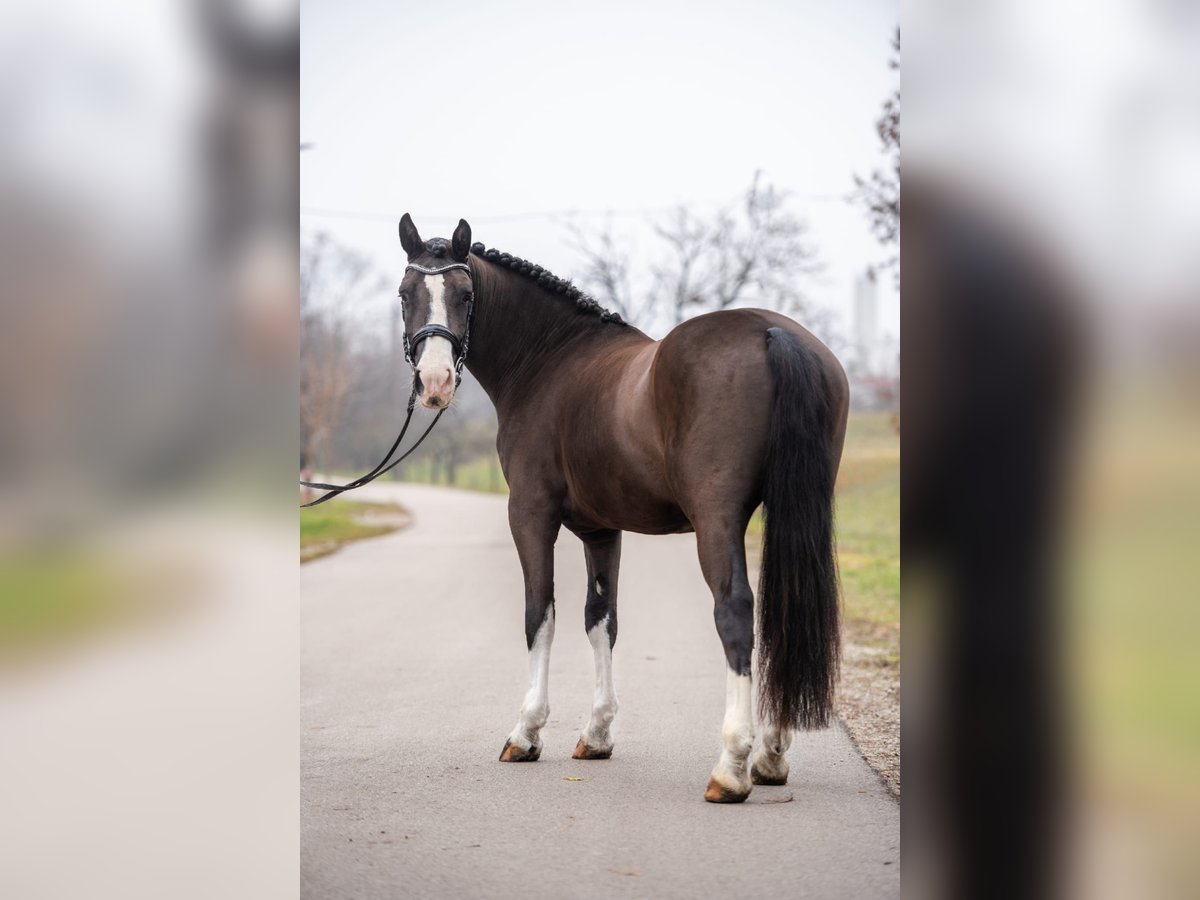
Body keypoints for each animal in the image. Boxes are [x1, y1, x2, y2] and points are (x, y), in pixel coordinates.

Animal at [398, 214, 849, 806]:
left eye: (465, 295)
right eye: (405, 293)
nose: (434, 383)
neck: (550, 361)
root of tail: (774, 333)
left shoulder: (530, 515)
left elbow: (539, 615)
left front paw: (526, 732)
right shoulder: (601, 530)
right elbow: (600, 620)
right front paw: (596, 733)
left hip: (717, 521)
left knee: (735, 612)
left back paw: (732, 766)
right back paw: (771, 756)